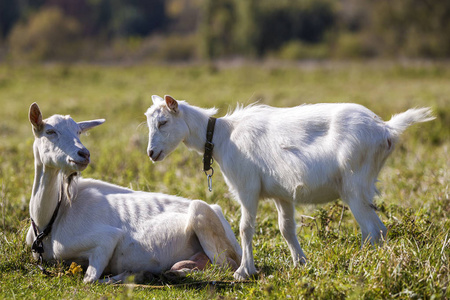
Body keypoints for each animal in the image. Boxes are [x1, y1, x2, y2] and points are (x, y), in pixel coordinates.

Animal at [26, 103, 241, 284]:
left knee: (224, 266)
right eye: (50, 131)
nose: (83, 154)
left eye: (78, 131)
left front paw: (132, 274)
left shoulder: (105, 240)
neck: (52, 219)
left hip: (202, 214)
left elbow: (90, 280)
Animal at [146, 95, 434, 280]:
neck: (221, 136)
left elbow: (245, 228)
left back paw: (359, 264)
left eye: (163, 123)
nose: (151, 153)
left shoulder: (247, 187)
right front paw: (300, 263)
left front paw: (243, 271)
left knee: (373, 230)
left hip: (354, 183)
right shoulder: (281, 194)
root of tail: (386, 128)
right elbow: (286, 229)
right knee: (377, 230)